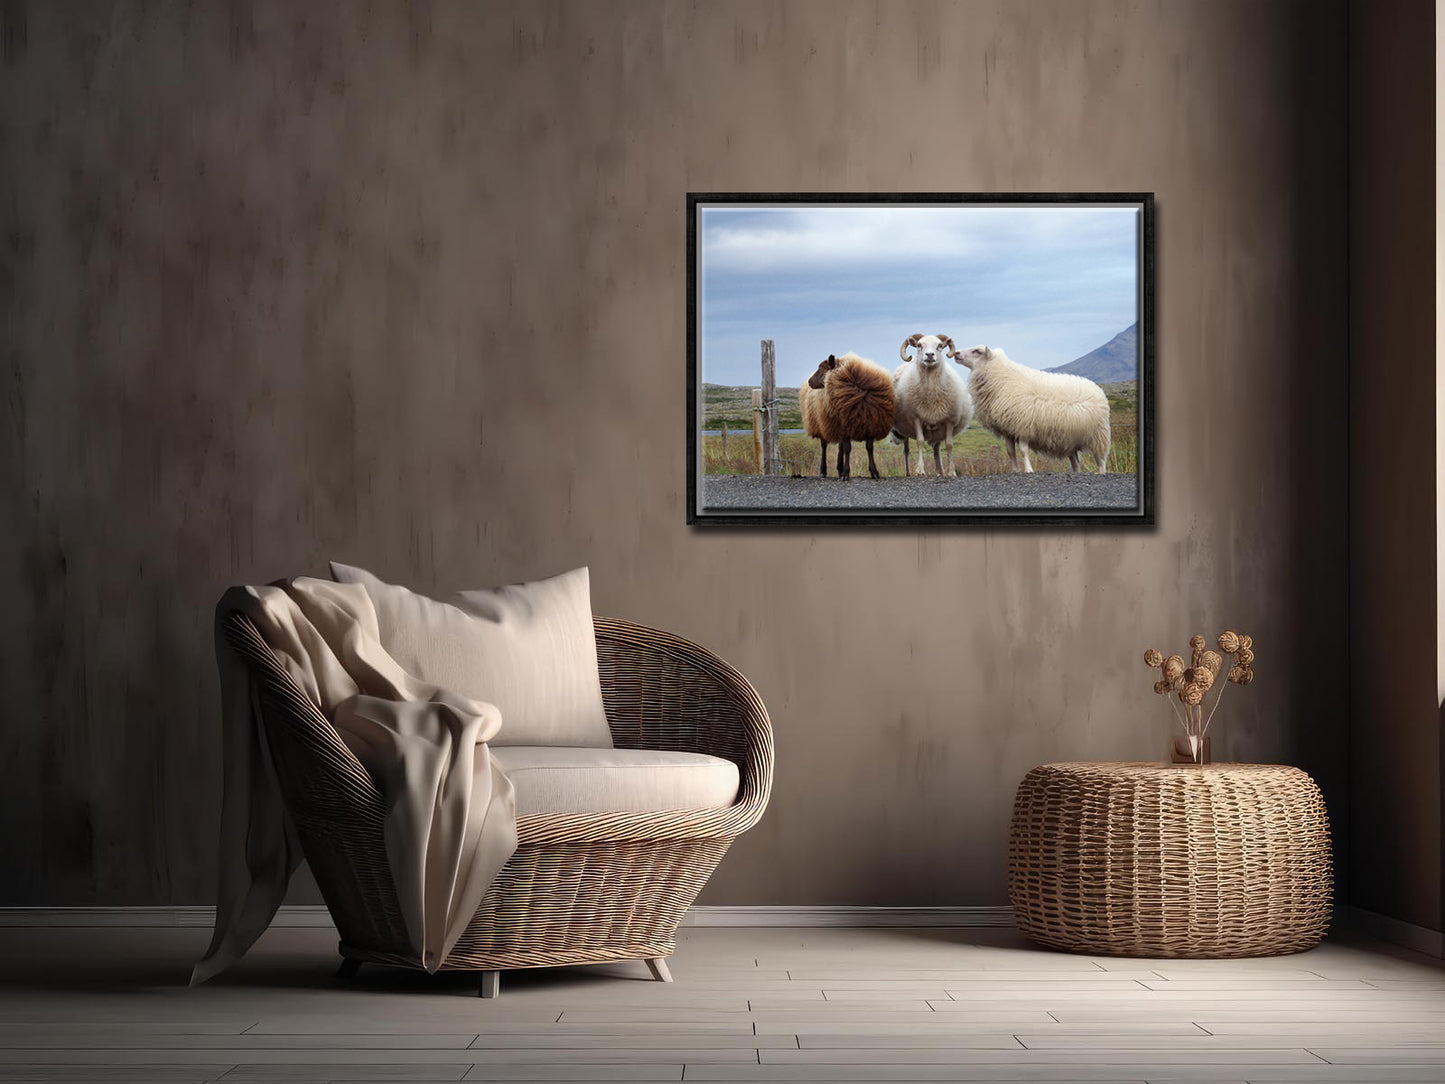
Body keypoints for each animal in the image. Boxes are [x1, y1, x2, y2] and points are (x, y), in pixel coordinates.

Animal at [797, 354, 895, 482]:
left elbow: (869, 448)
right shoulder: (843, 427)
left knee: (840, 446)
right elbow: (848, 449)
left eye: (822, 368)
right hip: (822, 424)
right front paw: (846, 474)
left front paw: (874, 472)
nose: (809, 382)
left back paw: (839, 468)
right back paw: (823, 472)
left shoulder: (869, 424)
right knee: (824, 446)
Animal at [884, 333, 976, 476]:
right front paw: (920, 470)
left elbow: (949, 445)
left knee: (936, 449)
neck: (932, 393)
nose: (930, 355)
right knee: (906, 450)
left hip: (938, 430)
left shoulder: (949, 420)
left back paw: (941, 471)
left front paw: (951, 471)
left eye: (940, 346)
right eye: (919, 345)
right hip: (905, 429)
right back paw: (908, 473)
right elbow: (920, 442)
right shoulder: (916, 418)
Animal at [953, 341, 1109, 474]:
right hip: (1071, 440)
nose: (957, 353)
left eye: (977, 351)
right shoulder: (1007, 429)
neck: (1001, 379)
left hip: (1098, 435)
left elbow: (1023, 450)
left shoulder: (1023, 426)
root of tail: (1097, 388)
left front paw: (1028, 469)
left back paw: (1101, 472)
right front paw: (1015, 470)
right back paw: (1076, 472)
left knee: (1101, 459)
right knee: (1076, 462)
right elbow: (1010, 451)